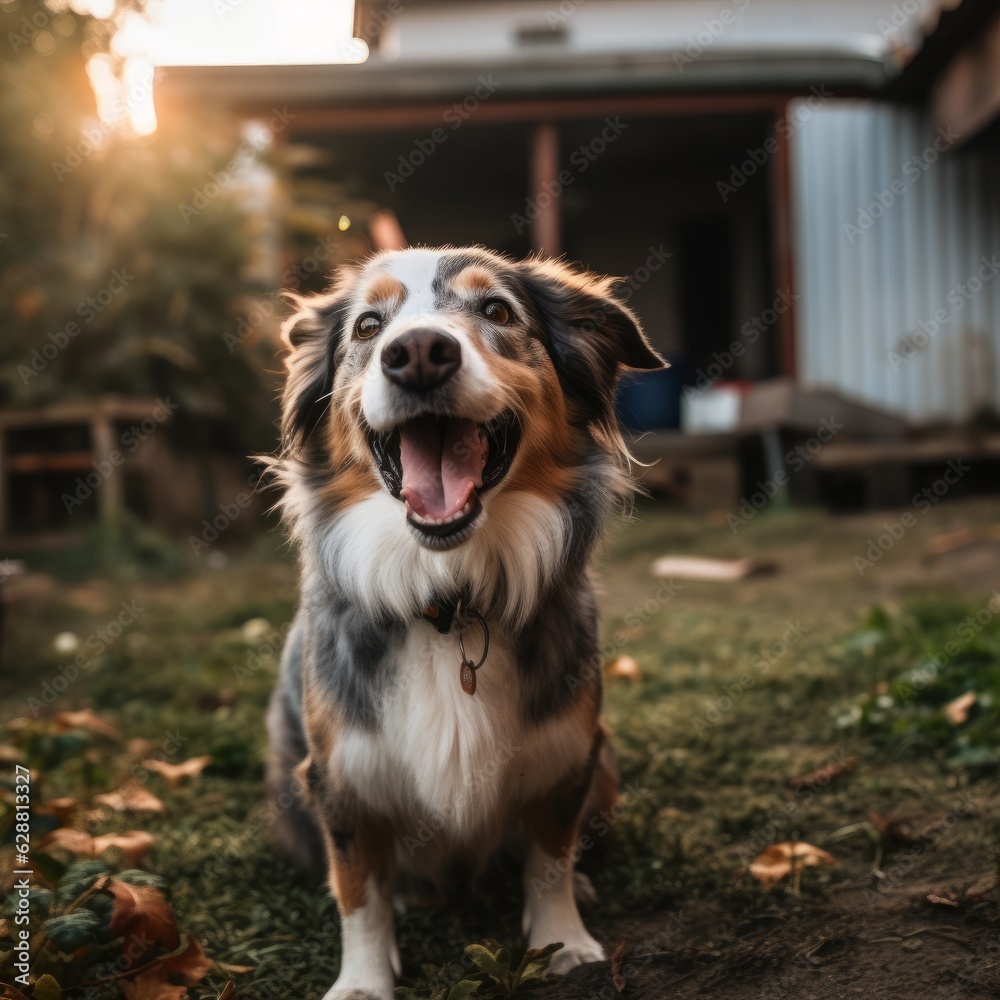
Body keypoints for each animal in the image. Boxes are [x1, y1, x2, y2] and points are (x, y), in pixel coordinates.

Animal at [266, 244, 664, 1000]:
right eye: (368, 327)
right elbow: (357, 893)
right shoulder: (339, 780)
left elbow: (549, 858)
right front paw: (362, 982)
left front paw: (565, 940)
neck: (448, 599)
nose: (418, 353)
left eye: (498, 311)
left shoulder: (567, 757)